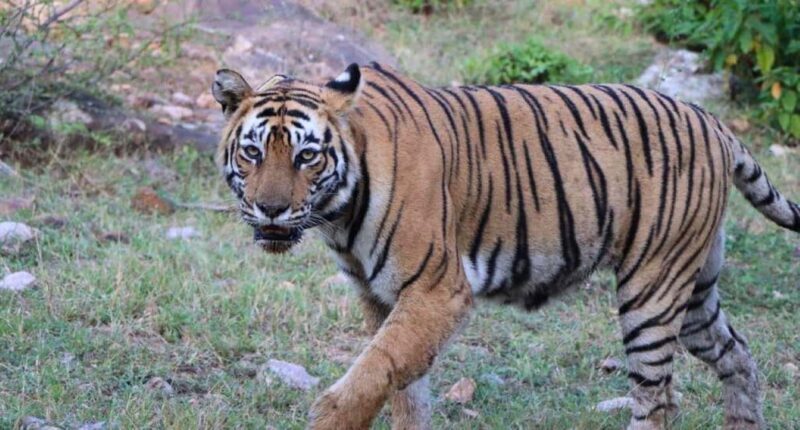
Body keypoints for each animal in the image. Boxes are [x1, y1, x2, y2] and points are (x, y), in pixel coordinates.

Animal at [211, 62, 799, 430]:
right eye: (253, 153)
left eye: (306, 156)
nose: (270, 209)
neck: (339, 214)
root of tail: (713, 122)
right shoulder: (380, 297)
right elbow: (402, 388)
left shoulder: (437, 290)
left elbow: (373, 374)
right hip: (694, 289)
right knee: (738, 355)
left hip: (652, 291)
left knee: (657, 399)